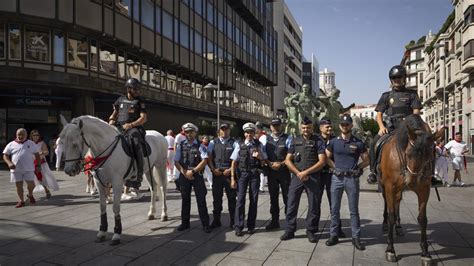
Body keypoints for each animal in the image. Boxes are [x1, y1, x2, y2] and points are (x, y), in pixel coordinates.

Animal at [60, 115, 168, 244]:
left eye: (75, 144)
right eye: (62, 142)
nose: (69, 170)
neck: (106, 150)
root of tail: (159, 135)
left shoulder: (117, 182)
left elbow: (116, 207)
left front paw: (116, 233)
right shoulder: (98, 182)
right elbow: (102, 206)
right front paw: (102, 232)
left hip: (160, 166)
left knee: (162, 188)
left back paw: (164, 214)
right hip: (148, 169)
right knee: (153, 188)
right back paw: (151, 213)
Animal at [378, 114, 444, 264]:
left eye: (429, 156)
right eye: (408, 154)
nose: (411, 182)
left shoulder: (424, 190)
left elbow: (422, 219)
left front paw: (425, 252)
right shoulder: (390, 186)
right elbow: (391, 215)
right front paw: (390, 249)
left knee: (397, 201)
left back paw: (399, 227)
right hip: (384, 185)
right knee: (387, 202)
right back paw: (385, 223)